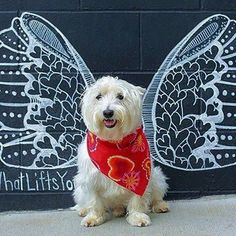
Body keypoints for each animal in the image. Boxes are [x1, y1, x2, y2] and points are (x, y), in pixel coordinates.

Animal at [73, 76, 169, 227]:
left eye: (120, 96)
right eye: (98, 96)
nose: (108, 112)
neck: (114, 142)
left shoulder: (143, 178)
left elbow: (137, 199)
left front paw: (137, 217)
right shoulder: (90, 177)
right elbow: (94, 200)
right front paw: (94, 217)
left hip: (157, 177)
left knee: (156, 195)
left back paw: (160, 205)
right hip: (78, 188)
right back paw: (84, 209)